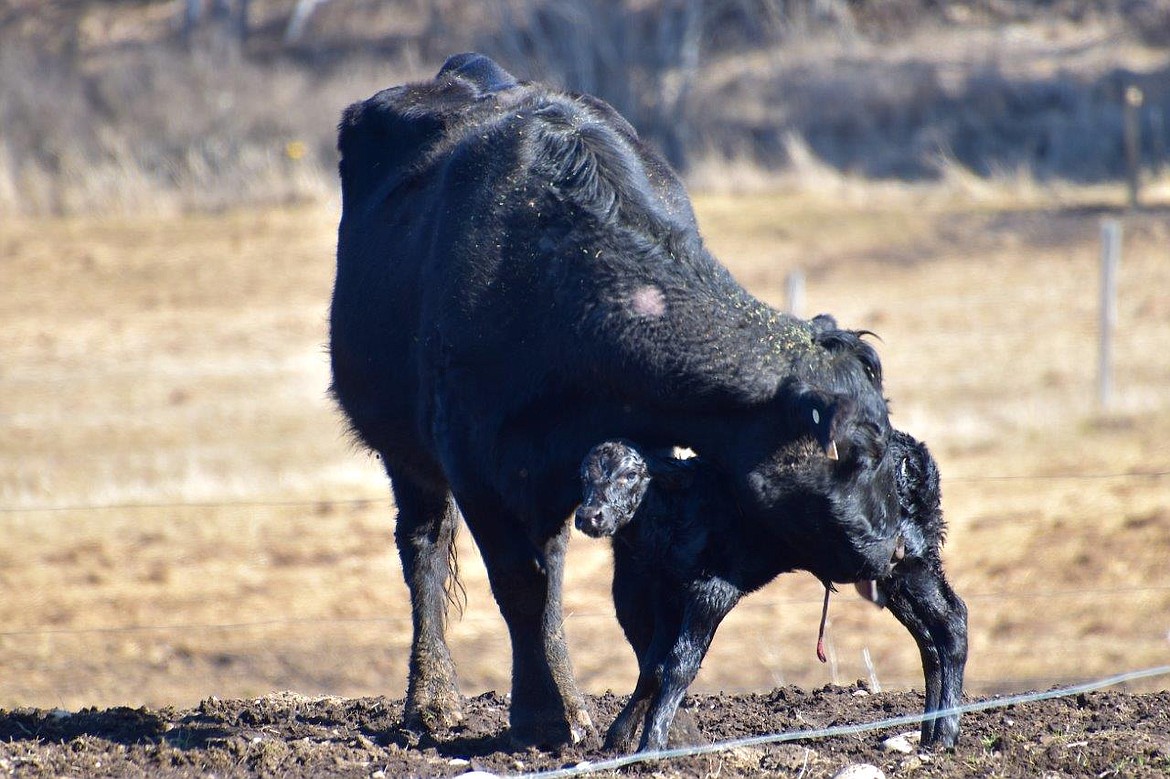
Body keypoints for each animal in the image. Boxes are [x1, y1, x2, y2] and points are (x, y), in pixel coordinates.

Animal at [329, 51, 903, 743]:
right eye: (859, 452)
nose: (893, 546)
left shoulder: (631, 464)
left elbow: (636, 600)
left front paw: (659, 728)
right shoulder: (475, 462)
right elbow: (517, 584)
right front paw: (542, 718)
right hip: (406, 453)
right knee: (426, 551)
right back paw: (433, 699)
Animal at [575, 428, 968, 748]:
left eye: (630, 475)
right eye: (584, 478)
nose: (589, 516)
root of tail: (914, 454)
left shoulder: (711, 591)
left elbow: (680, 663)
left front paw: (651, 745)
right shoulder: (665, 594)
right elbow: (652, 666)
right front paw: (616, 740)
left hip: (912, 560)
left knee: (952, 622)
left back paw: (944, 736)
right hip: (890, 578)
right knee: (928, 641)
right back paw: (927, 733)